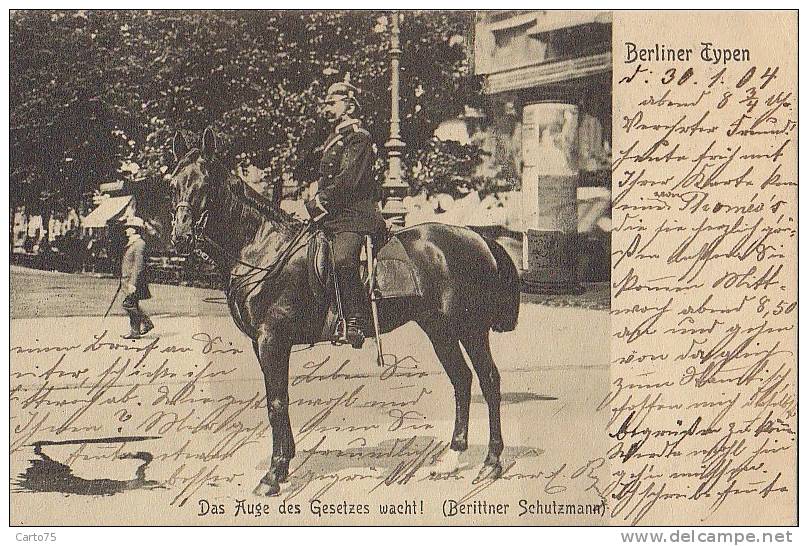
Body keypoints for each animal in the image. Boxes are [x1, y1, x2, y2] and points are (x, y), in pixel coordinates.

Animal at [168, 130, 520, 496]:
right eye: (173, 184)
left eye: (204, 184)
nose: (180, 238)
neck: (263, 247)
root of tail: (478, 237)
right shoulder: (261, 342)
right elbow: (279, 400)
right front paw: (284, 463)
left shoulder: (272, 339)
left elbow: (276, 402)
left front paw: (273, 474)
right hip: (439, 329)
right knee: (462, 380)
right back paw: (452, 457)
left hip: (471, 328)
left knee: (489, 380)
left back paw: (491, 462)